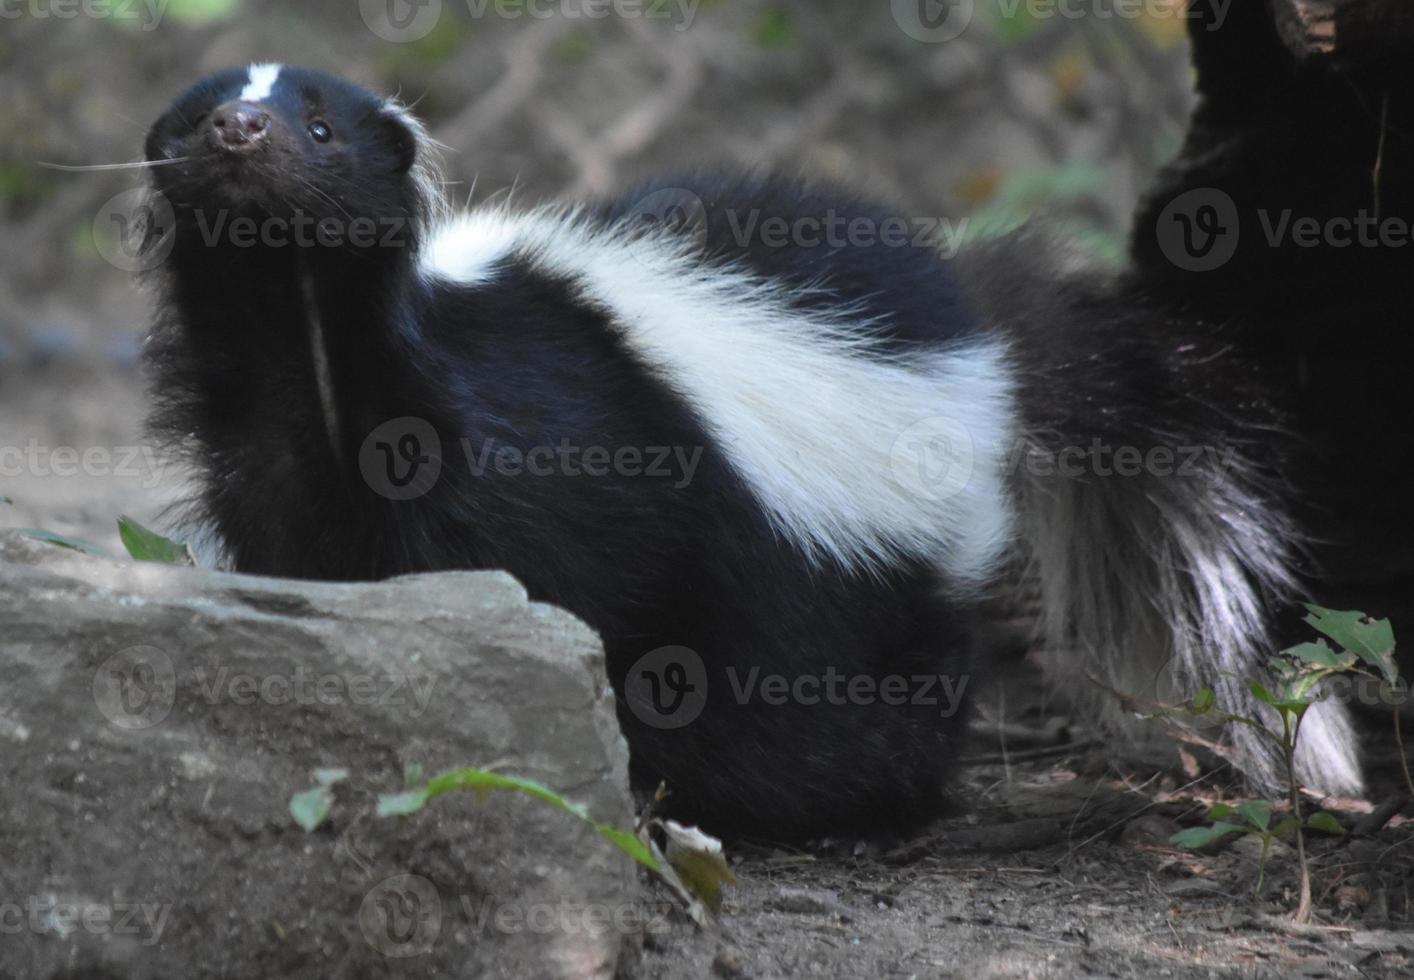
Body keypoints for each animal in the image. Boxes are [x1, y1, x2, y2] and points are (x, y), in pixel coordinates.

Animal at [140, 65, 1357, 837]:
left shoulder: (548, 457)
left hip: (845, 581)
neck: (312, 352)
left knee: (842, 698)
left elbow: (562, 592)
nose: (240, 132)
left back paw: (860, 810)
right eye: (199, 117)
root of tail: (978, 330)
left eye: (320, 127)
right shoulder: (273, 466)